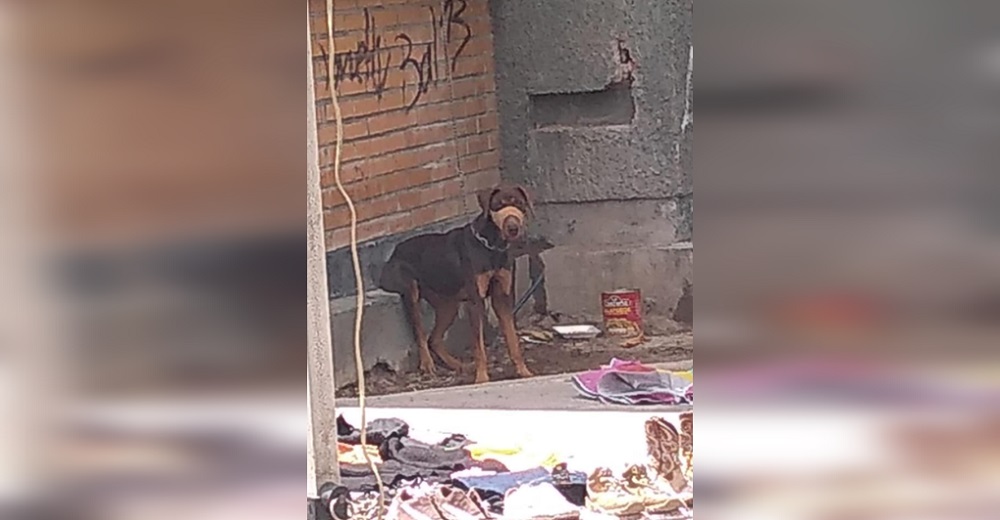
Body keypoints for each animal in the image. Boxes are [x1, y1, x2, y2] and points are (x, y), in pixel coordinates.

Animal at [376, 183, 536, 382]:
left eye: (520, 204)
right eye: (498, 205)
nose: (513, 228)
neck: (492, 246)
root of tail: (393, 253)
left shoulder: (502, 297)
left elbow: (513, 340)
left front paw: (524, 372)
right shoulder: (475, 301)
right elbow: (478, 346)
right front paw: (482, 378)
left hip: (448, 304)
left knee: (434, 339)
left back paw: (458, 365)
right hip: (411, 291)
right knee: (420, 333)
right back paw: (427, 364)